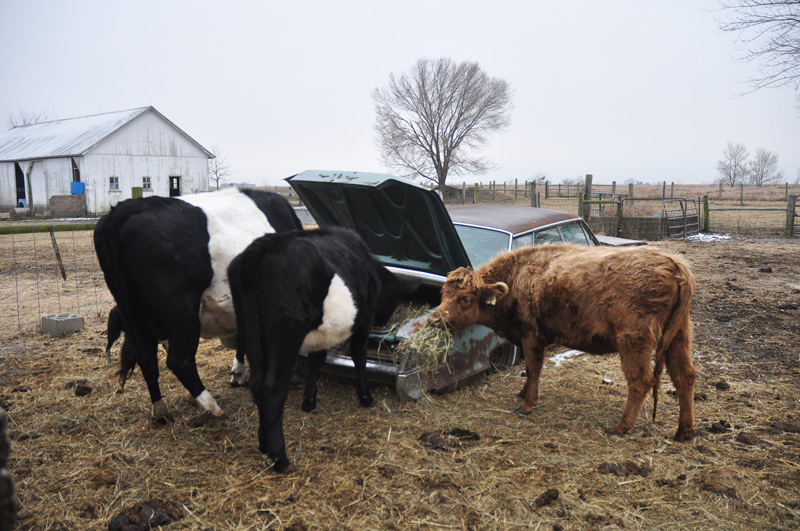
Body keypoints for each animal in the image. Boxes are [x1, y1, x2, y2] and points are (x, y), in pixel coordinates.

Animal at [94, 188, 303, 422]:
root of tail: (122, 211)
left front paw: (238, 373)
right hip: (181, 312)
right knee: (179, 361)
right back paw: (211, 406)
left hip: (131, 314)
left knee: (146, 358)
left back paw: (160, 411)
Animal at [228, 226, 419, 472]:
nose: (383, 320)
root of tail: (261, 247)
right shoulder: (364, 321)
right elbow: (359, 356)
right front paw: (365, 397)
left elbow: (317, 359)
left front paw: (309, 400)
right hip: (286, 335)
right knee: (272, 388)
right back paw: (280, 458)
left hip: (250, 331)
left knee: (257, 383)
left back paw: (263, 444)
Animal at [429, 244, 696, 442]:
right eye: (443, 294)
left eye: (464, 299)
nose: (434, 319)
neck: (518, 275)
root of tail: (674, 265)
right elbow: (529, 371)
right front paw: (522, 393)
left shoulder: (532, 335)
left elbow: (533, 369)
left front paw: (527, 404)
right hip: (678, 336)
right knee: (685, 376)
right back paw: (683, 432)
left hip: (633, 341)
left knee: (641, 380)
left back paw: (621, 427)